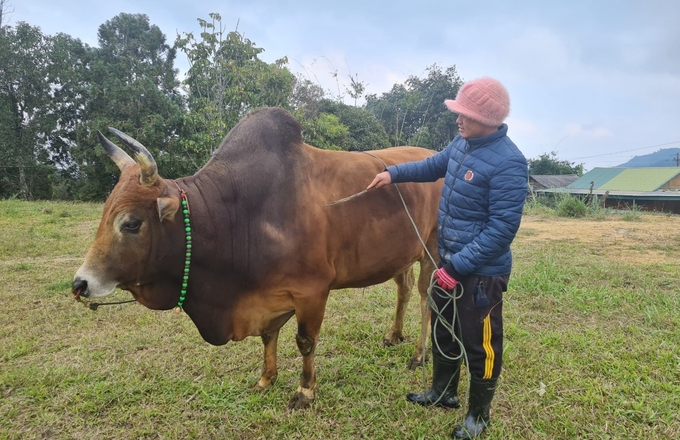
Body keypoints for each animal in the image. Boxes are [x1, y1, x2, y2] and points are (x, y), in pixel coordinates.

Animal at [73, 107, 440, 410]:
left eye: (131, 223)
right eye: (105, 213)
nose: (80, 283)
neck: (240, 213)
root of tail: (434, 154)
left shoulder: (312, 291)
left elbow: (305, 341)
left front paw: (305, 391)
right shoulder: (267, 294)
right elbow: (268, 335)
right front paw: (266, 378)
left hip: (433, 251)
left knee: (427, 298)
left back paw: (419, 354)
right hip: (403, 254)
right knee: (404, 288)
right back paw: (393, 335)